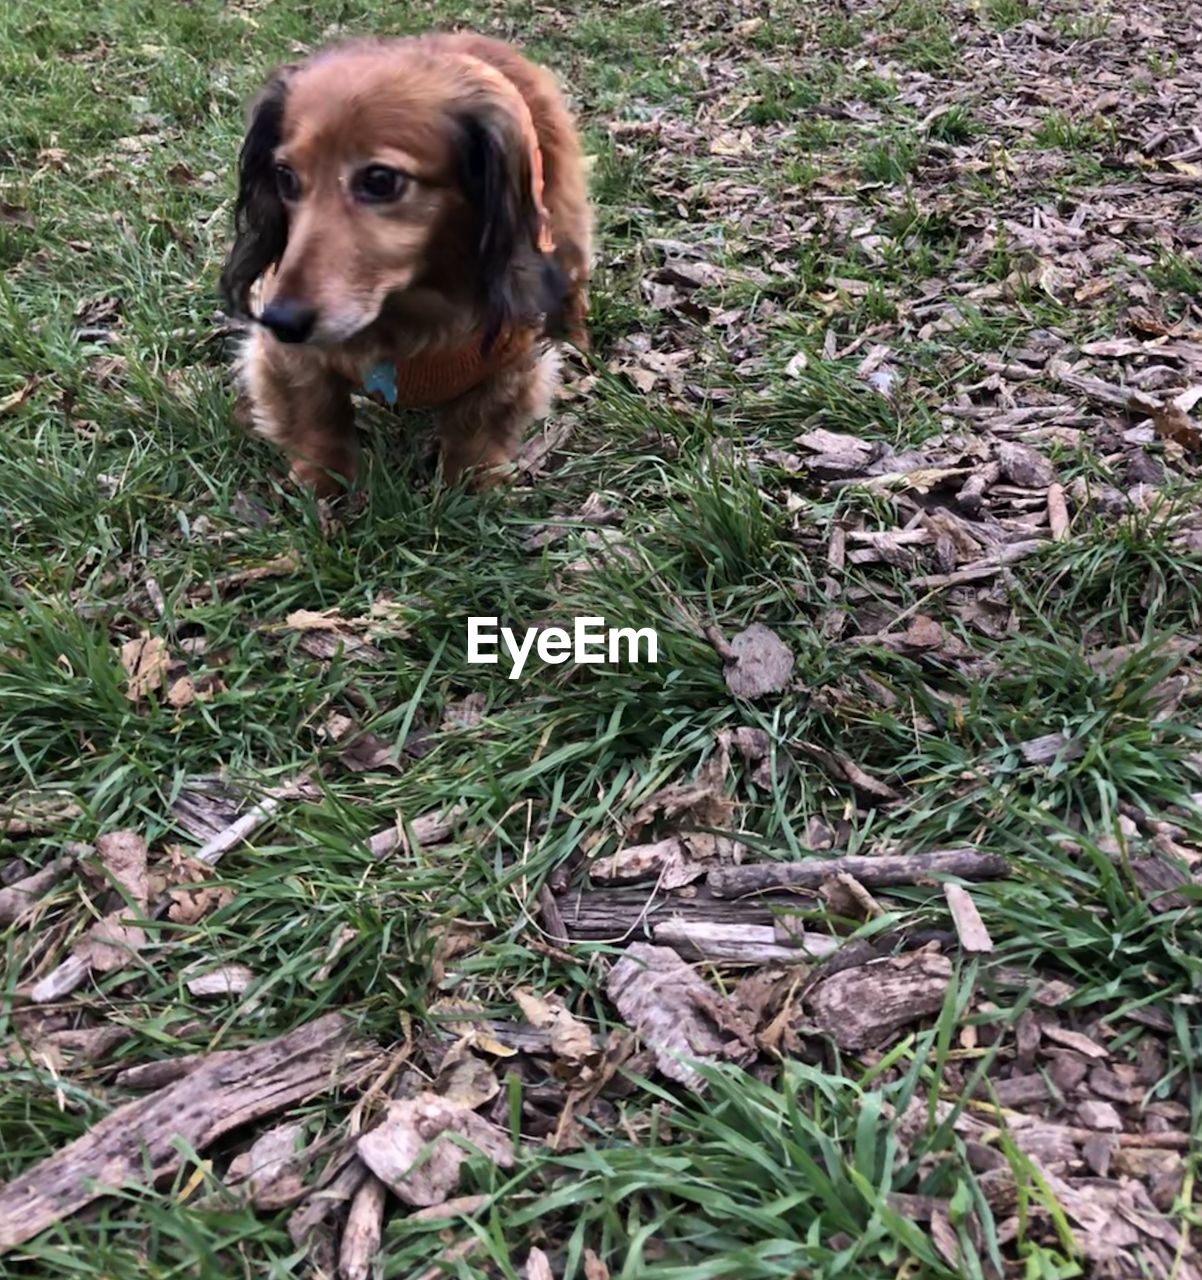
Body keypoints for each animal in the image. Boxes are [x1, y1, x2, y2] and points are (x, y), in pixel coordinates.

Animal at [221, 35, 591, 494]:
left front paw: (469, 491)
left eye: (380, 180)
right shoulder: (291, 361)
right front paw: (324, 492)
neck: (409, 311)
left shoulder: (511, 360)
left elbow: (477, 431)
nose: (282, 321)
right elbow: (319, 423)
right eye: (285, 176)